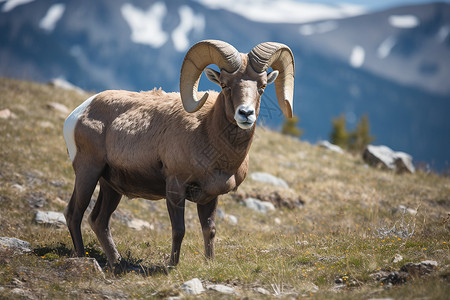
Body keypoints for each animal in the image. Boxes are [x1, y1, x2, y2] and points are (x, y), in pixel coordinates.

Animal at [62, 40, 296, 270]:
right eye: (225, 85)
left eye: (262, 86)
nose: (245, 114)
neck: (207, 133)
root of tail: (79, 113)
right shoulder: (175, 187)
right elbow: (179, 230)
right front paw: (172, 266)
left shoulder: (210, 196)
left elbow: (209, 230)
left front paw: (209, 264)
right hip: (88, 173)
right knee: (74, 214)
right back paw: (83, 258)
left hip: (111, 186)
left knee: (99, 221)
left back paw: (116, 261)